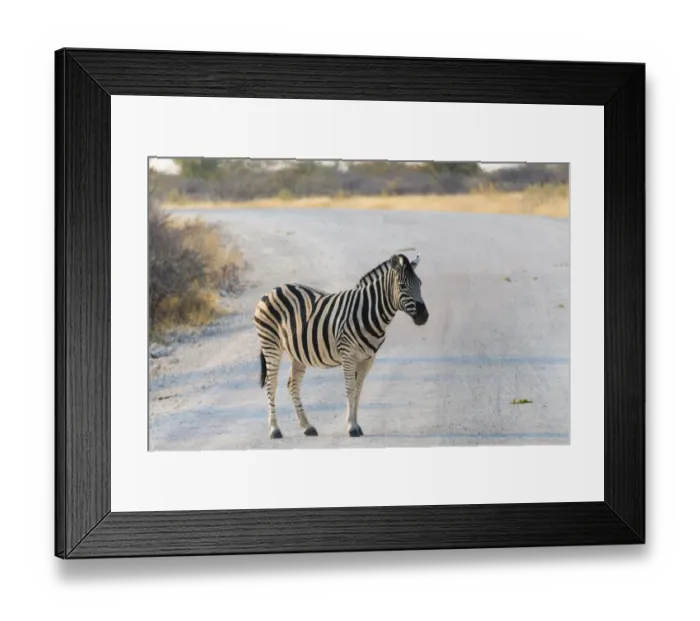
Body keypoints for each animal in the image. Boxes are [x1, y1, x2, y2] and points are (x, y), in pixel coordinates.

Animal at [253, 253, 429, 439]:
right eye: (402, 286)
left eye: (420, 284)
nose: (424, 316)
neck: (368, 313)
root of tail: (272, 290)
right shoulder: (348, 355)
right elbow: (350, 389)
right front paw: (351, 427)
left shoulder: (368, 358)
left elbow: (358, 390)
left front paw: (357, 425)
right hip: (271, 345)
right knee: (271, 384)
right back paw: (274, 429)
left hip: (297, 353)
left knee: (292, 385)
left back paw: (307, 426)